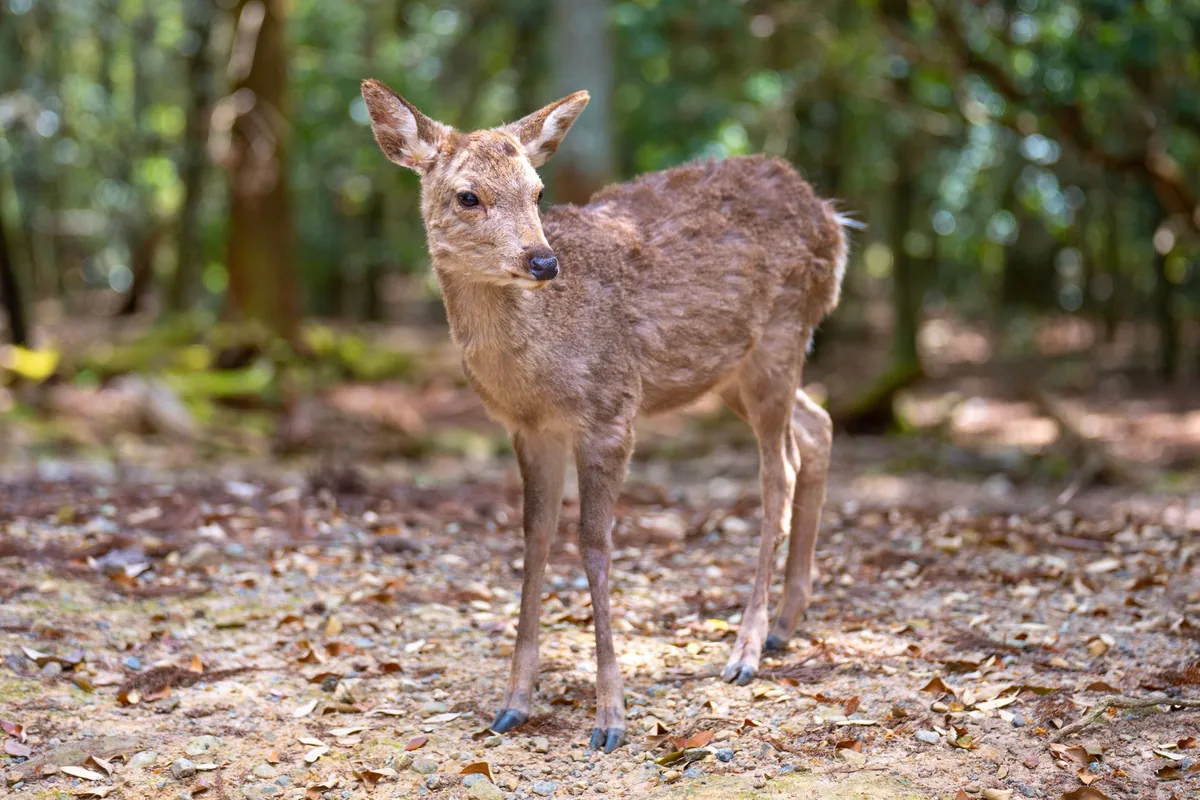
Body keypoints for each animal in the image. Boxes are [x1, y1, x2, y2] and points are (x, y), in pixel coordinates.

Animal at [361, 78, 851, 753]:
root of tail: (833, 220)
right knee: (818, 426)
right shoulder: (529, 429)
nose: (543, 261)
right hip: (733, 370)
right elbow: (535, 537)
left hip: (780, 338)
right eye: (468, 195)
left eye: (538, 191)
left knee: (777, 473)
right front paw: (513, 704)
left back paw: (746, 650)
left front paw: (610, 717)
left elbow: (594, 544)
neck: (537, 371)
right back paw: (784, 624)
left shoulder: (611, 412)